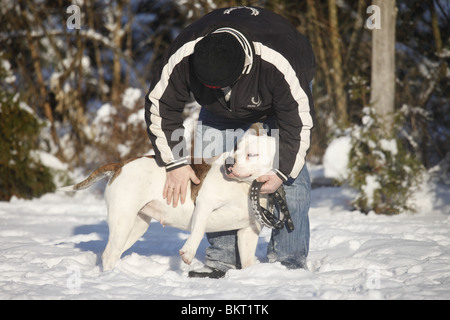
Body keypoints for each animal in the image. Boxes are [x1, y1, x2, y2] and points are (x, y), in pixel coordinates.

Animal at [59, 131, 278, 272]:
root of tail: (121, 164)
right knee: (109, 254)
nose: (229, 163)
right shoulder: (205, 203)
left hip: (136, 226)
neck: (245, 187)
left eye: (252, 154)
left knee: (114, 252)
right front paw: (188, 253)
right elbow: (198, 229)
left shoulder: (248, 231)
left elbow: (247, 258)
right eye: (235, 149)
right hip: (123, 220)